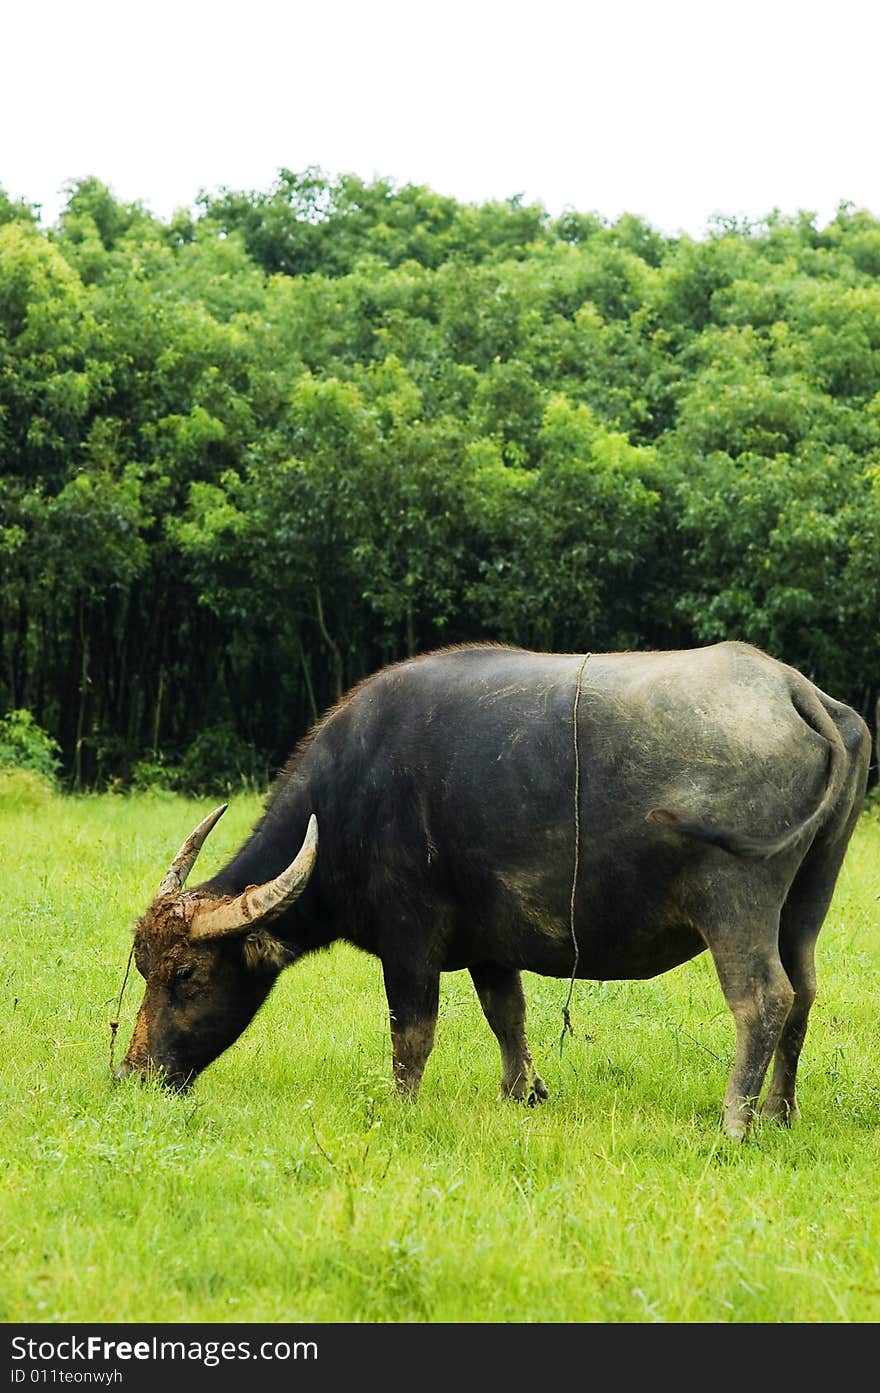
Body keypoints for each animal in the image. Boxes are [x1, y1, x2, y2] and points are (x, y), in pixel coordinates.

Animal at [120, 640, 868, 1142]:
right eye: (143, 968)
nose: (135, 1074)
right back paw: (781, 1112)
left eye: (186, 974)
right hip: (806, 901)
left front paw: (401, 1107)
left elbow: (412, 1032)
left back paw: (735, 1121)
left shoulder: (409, 940)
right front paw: (521, 1093)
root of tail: (796, 691)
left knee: (762, 998)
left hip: (735, 898)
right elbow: (506, 1013)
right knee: (803, 991)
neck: (351, 799)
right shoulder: (489, 943)